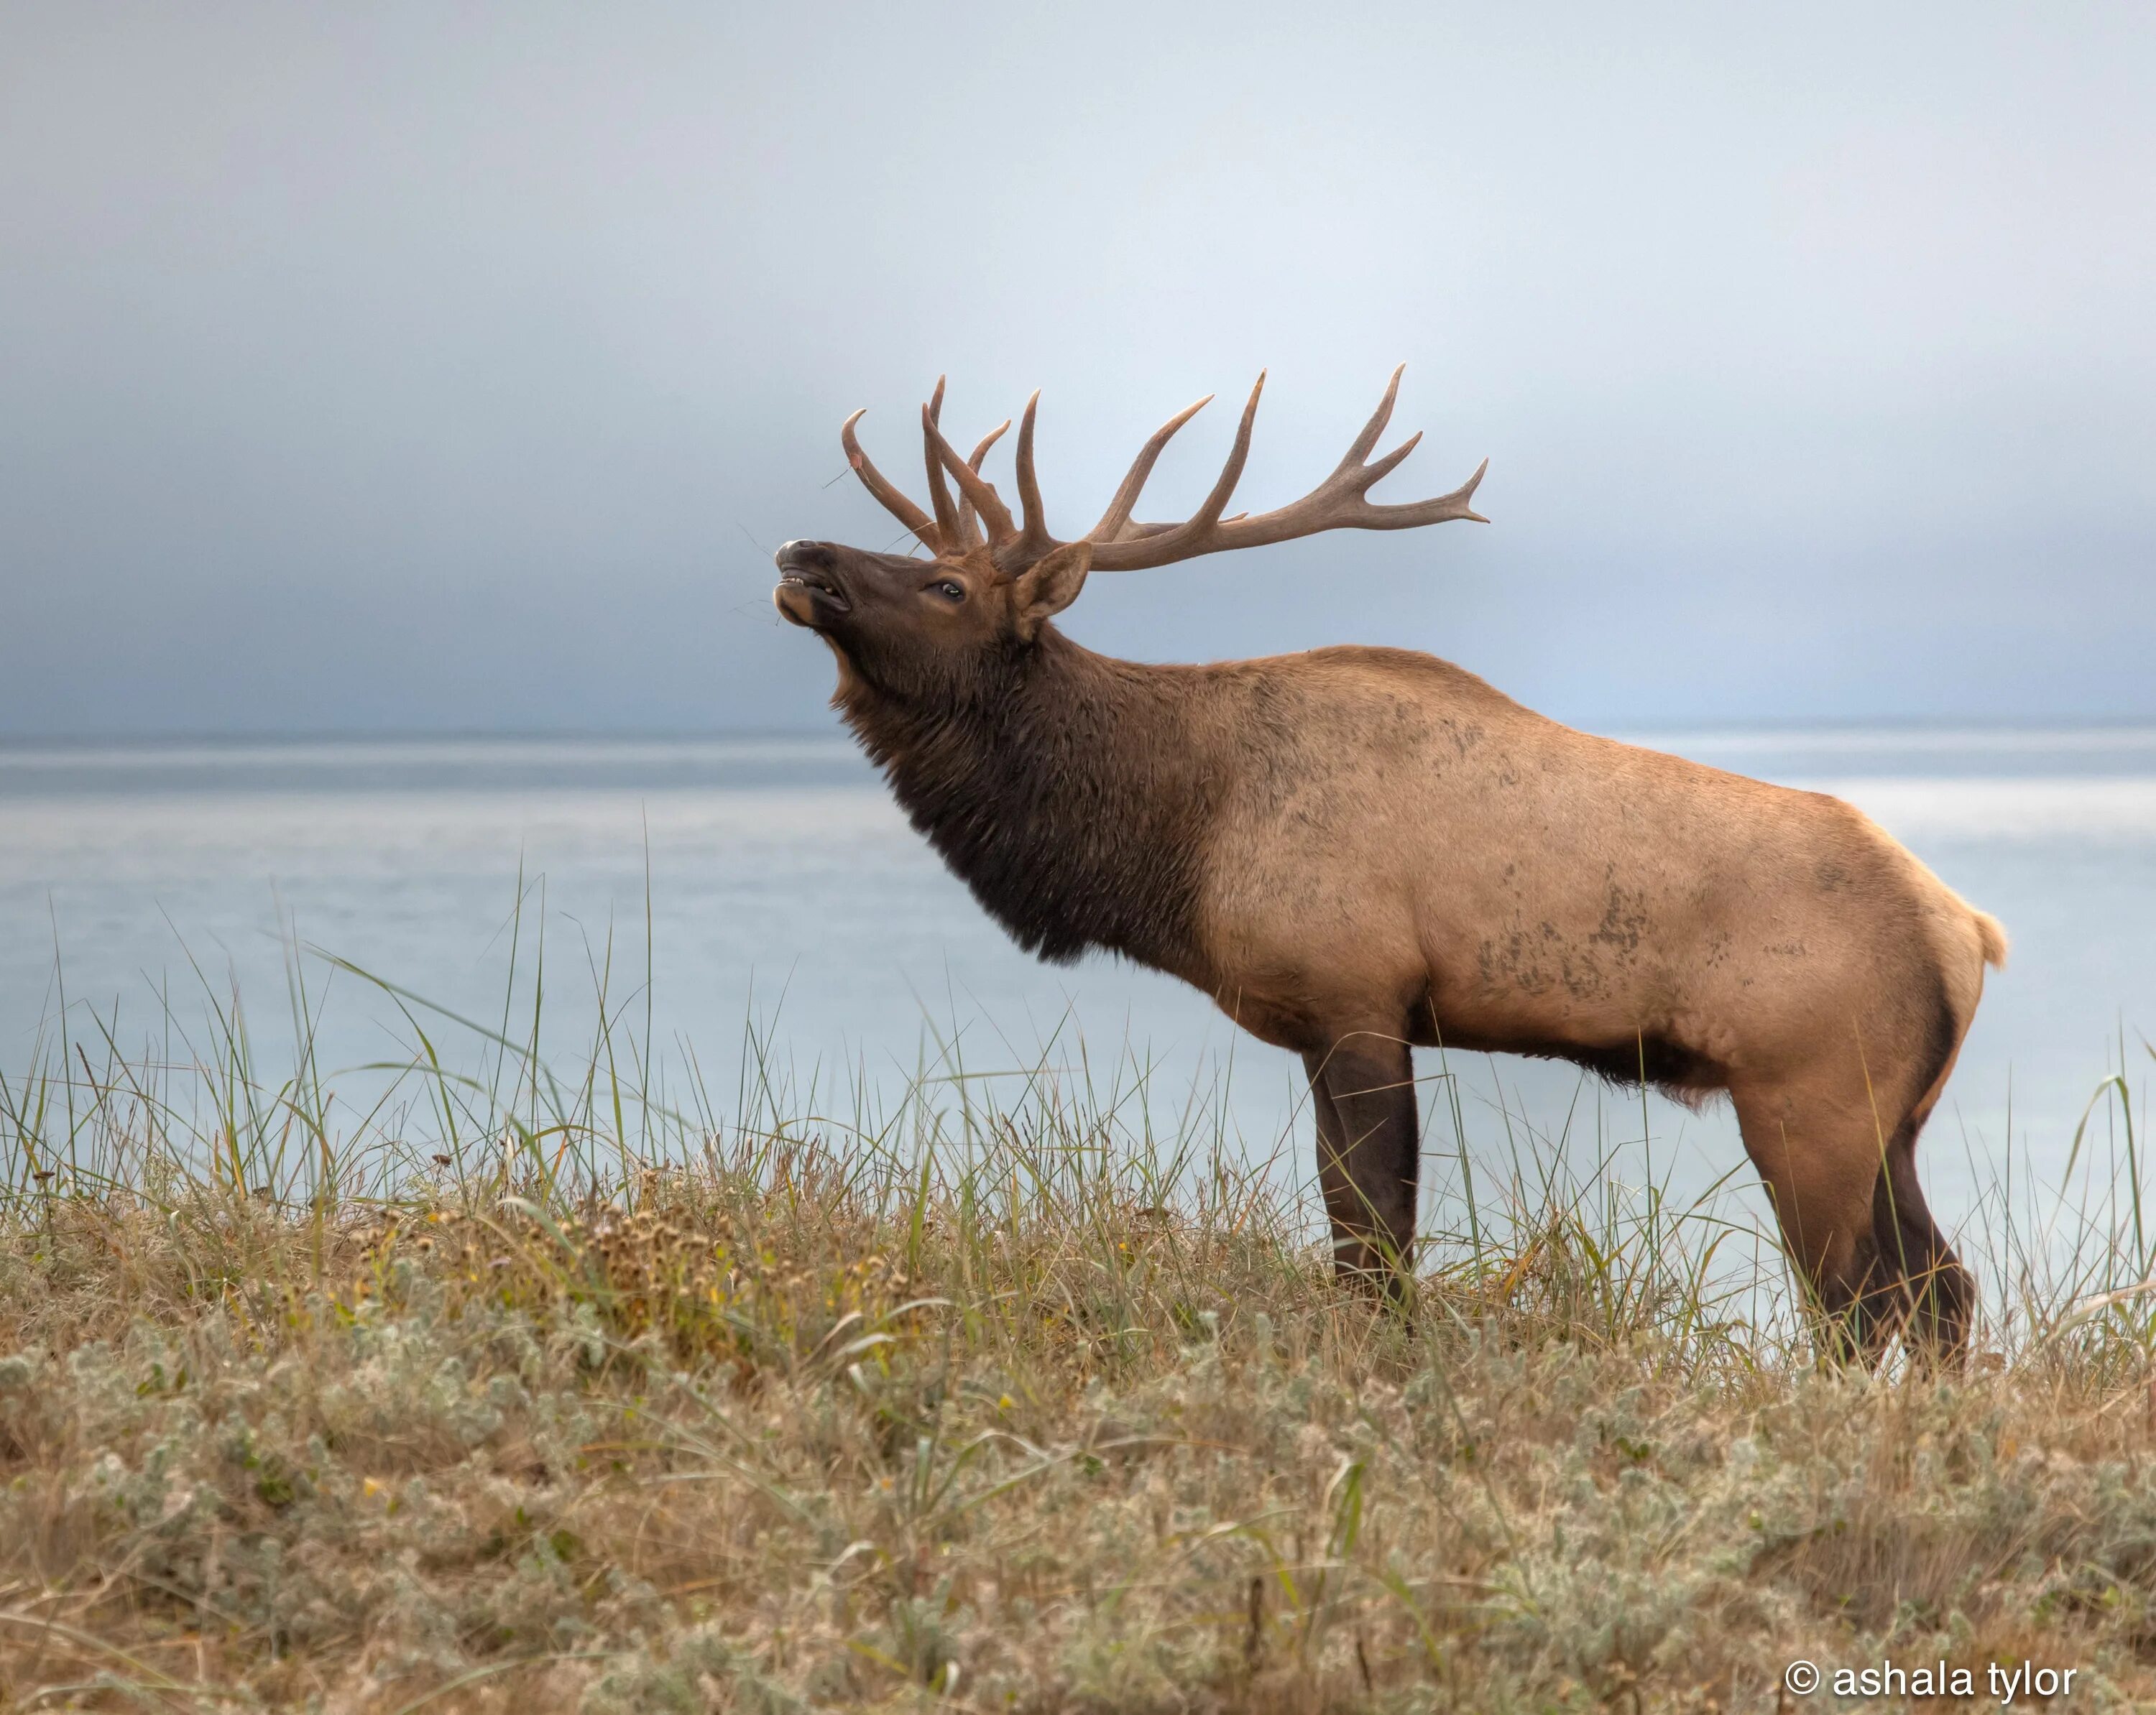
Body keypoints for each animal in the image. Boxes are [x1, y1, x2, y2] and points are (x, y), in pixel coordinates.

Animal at [776, 368, 2001, 1362]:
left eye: (949, 589)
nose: (802, 555)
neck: (1178, 838)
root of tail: (1968, 931)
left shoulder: (1357, 996)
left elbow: (1373, 1237)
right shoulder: (1335, 1020)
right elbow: (1364, 1236)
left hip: (1809, 1094)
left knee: (1858, 1304)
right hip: (1891, 1116)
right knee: (1942, 1288)